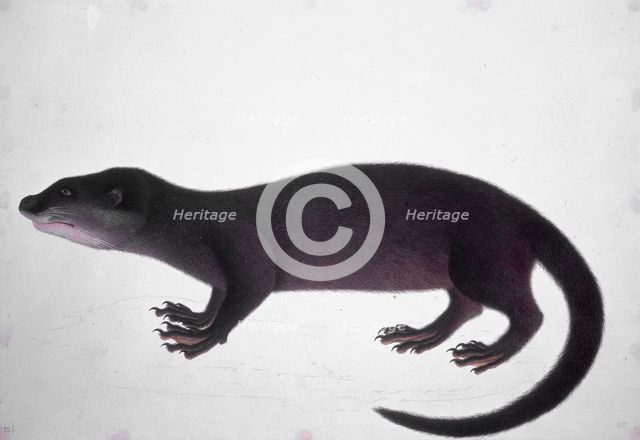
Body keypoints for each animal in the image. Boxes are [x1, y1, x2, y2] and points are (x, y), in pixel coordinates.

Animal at [18, 164, 603, 438]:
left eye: (67, 193)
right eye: (56, 182)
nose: (26, 201)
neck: (195, 228)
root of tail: (522, 212)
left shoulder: (245, 259)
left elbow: (240, 304)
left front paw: (196, 340)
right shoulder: (219, 271)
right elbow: (217, 299)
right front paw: (186, 315)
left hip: (484, 255)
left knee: (527, 312)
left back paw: (488, 353)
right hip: (464, 268)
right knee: (464, 306)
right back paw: (419, 336)